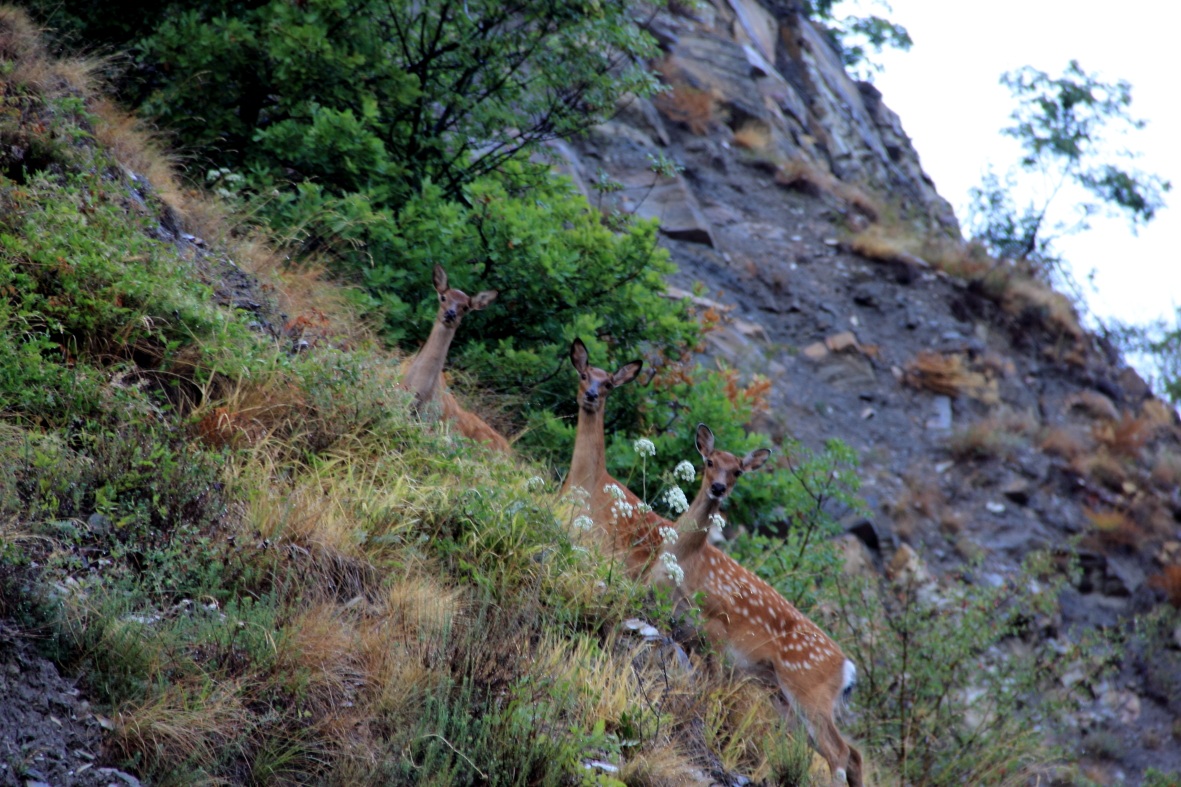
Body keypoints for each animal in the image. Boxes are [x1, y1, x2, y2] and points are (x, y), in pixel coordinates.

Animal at [657, 423, 863, 787]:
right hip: (786, 698)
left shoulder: (718, 633)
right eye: (710, 461)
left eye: (738, 470)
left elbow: (712, 693)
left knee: (839, 753)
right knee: (852, 754)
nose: (719, 487)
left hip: (808, 691)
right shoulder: (683, 630)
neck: (690, 562)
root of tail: (846, 667)